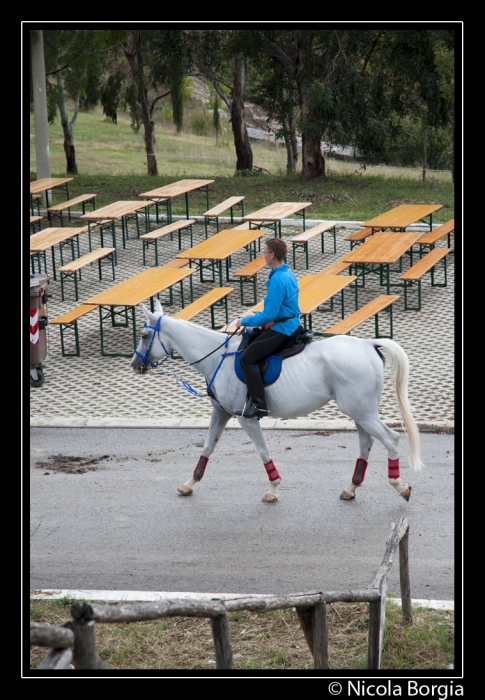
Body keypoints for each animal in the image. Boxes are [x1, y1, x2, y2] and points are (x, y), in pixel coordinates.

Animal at [130, 300, 420, 504]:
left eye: (144, 335)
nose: (134, 364)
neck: (217, 358)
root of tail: (367, 344)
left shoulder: (245, 417)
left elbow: (263, 451)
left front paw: (273, 488)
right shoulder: (220, 413)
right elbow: (207, 448)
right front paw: (190, 483)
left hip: (363, 413)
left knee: (391, 439)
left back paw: (400, 485)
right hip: (360, 413)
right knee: (366, 442)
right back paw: (351, 488)